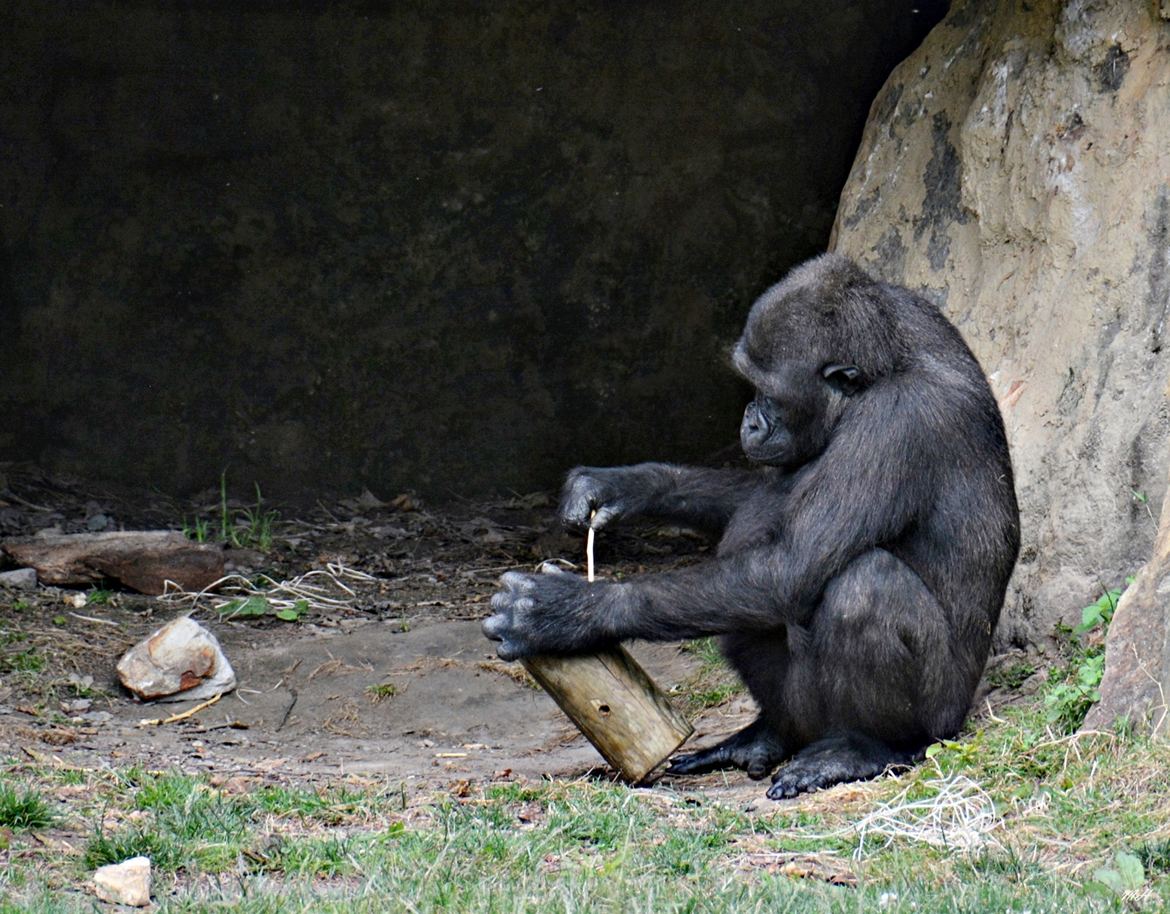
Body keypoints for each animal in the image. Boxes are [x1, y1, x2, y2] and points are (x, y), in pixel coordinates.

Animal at [479, 252, 1020, 795]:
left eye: (768, 393)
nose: (750, 419)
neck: (880, 372)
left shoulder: (897, 418)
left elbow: (790, 568)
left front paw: (567, 611)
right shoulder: (919, 314)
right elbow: (756, 505)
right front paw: (625, 484)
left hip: (942, 720)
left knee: (863, 586)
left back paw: (865, 746)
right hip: (804, 715)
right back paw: (767, 734)